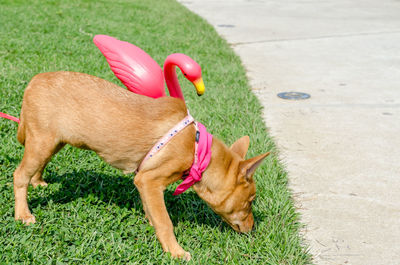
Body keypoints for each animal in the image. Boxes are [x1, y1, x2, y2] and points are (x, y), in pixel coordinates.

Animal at [13, 70, 268, 258]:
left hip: (53, 143)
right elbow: (165, 222)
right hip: (42, 143)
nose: (253, 229)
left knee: (37, 167)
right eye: (250, 201)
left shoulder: (145, 184)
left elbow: (152, 212)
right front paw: (175, 252)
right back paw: (23, 214)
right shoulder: (149, 180)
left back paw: (38, 182)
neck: (198, 150)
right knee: (19, 175)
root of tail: (34, 81)